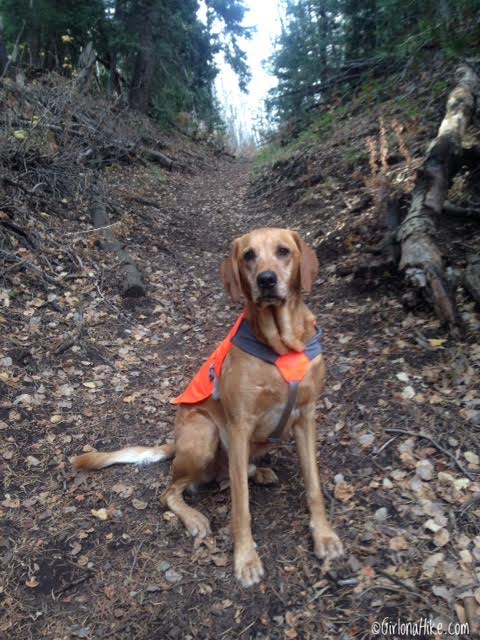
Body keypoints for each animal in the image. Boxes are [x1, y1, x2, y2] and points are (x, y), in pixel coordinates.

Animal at [73, 229, 344, 584]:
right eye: (248, 255)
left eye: (284, 251)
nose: (266, 280)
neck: (280, 347)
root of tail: (176, 443)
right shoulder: (239, 426)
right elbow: (241, 506)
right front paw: (245, 559)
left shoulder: (306, 418)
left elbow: (313, 486)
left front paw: (324, 536)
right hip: (204, 434)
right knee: (171, 491)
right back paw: (194, 517)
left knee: (228, 475)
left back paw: (259, 472)